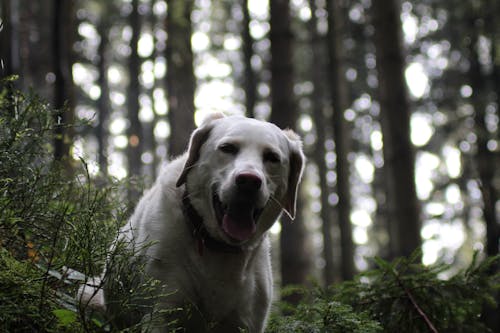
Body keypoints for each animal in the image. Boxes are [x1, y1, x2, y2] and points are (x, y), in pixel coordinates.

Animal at [78, 113, 304, 330]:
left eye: (272, 157)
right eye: (227, 148)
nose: (249, 181)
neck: (218, 248)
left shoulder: (247, 322)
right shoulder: (160, 312)